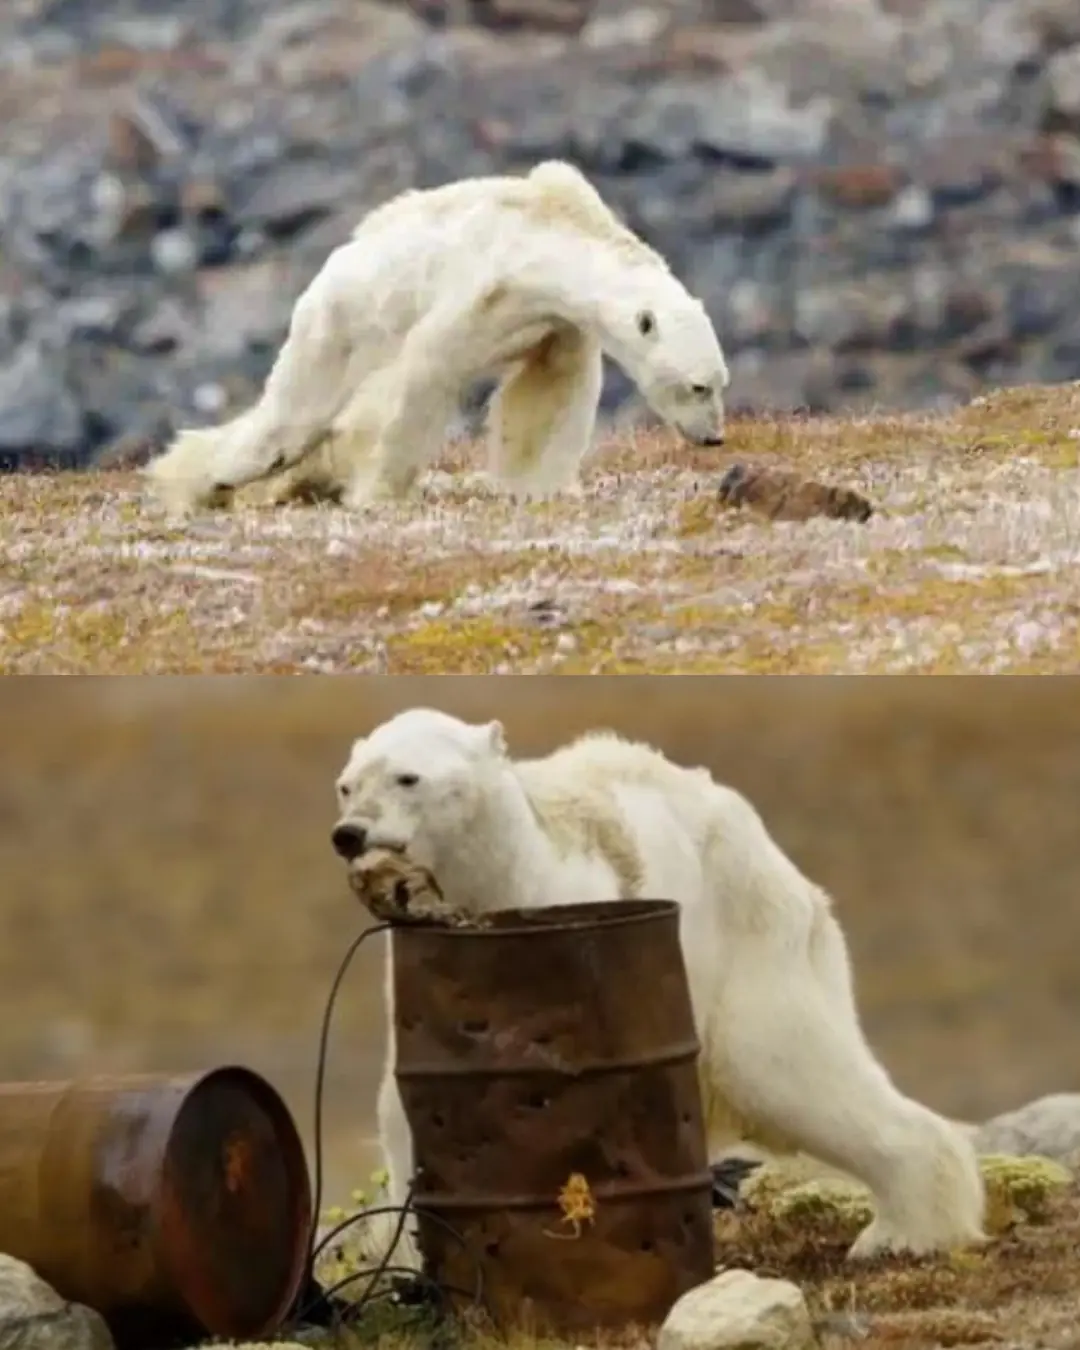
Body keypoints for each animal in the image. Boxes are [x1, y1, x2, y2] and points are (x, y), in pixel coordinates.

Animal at [143, 160, 729, 519]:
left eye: (719, 382)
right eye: (699, 387)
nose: (714, 438)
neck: (551, 234)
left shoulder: (555, 322)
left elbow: (549, 394)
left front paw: (540, 484)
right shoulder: (480, 290)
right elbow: (424, 377)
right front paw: (379, 492)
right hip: (339, 324)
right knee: (289, 421)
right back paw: (205, 481)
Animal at [329, 707, 987, 1272]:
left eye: (407, 777)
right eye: (346, 785)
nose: (349, 834)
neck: (499, 879)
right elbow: (406, 1105)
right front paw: (407, 1255)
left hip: (748, 940)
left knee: (784, 1067)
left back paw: (903, 1231)